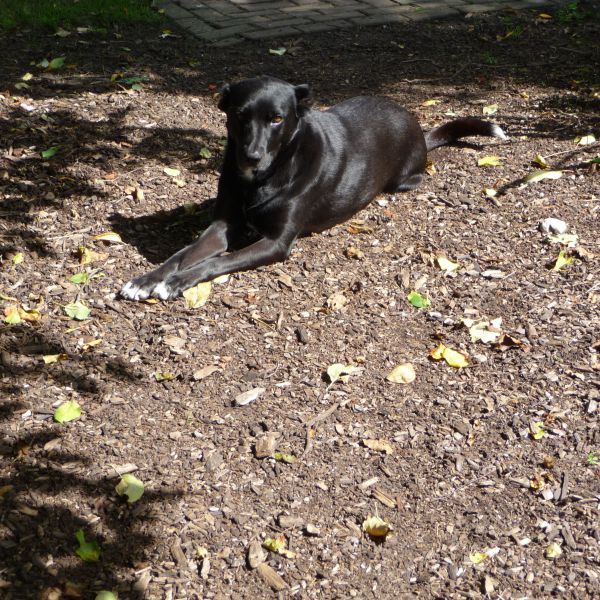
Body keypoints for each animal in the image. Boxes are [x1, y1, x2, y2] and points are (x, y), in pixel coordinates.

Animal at [122, 75, 506, 300]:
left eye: (277, 119)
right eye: (240, 115)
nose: (251, 157)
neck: (264, 178)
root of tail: (415, 124)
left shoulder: (276, 243)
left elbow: (219, 261)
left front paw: (175, 282)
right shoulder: (221, 226)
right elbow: (182, 254)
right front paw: (148, 279)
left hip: (404, 179)